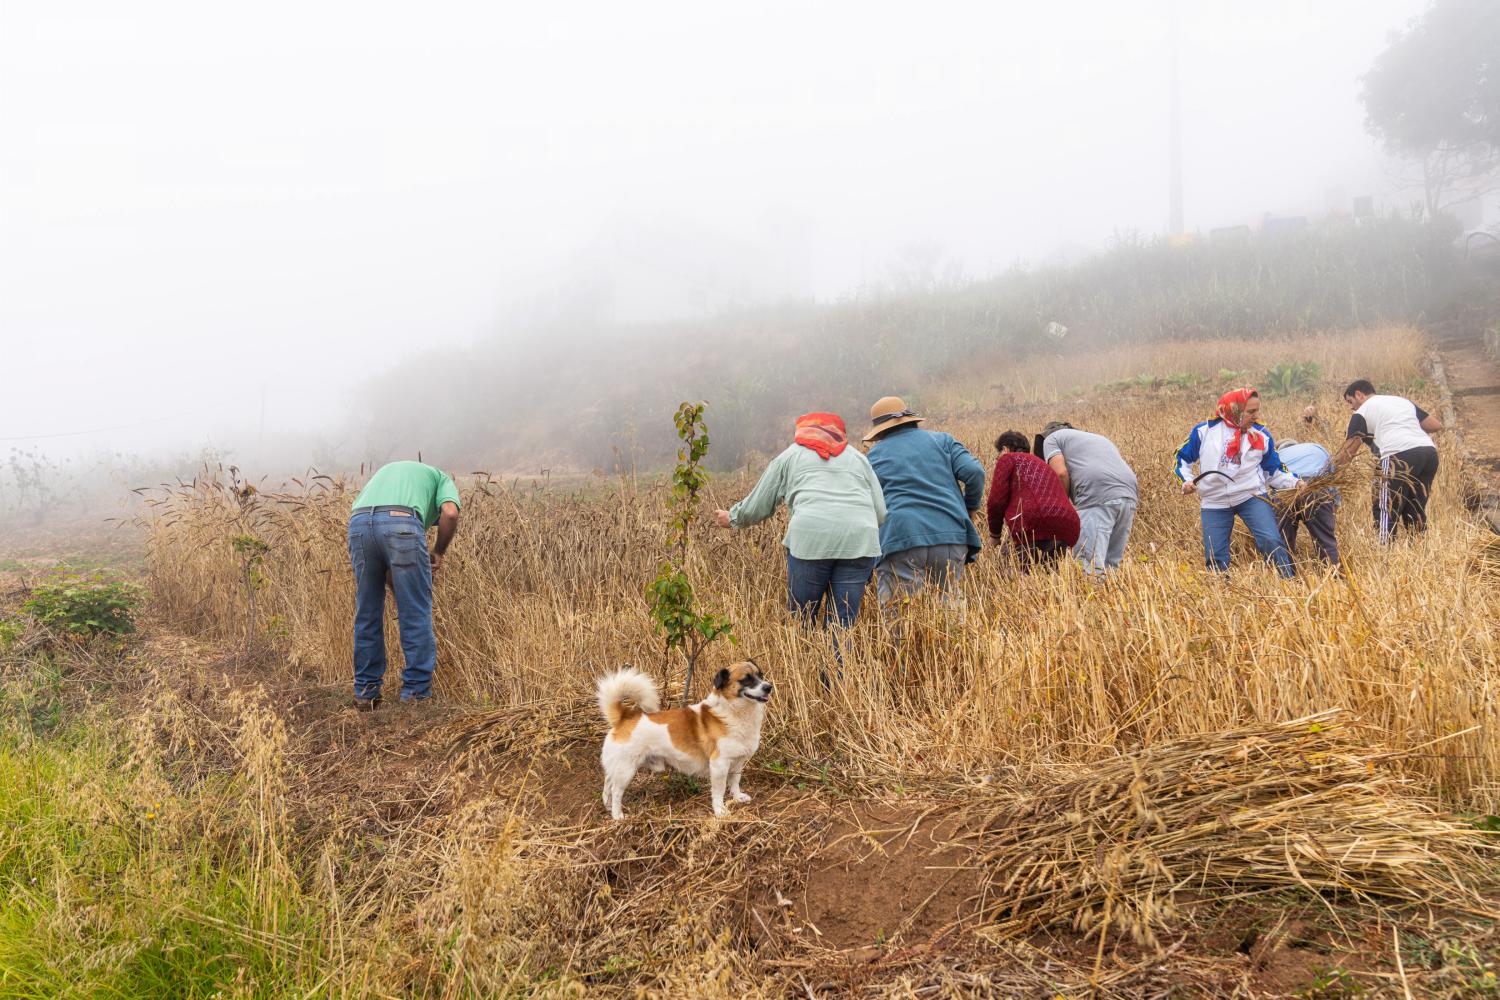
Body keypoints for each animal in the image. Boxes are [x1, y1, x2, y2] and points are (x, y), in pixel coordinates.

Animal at [591, 659, 774, 815]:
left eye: (760, 675)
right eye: (746, 680)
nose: (769, 687)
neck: (732, 712)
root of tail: (624, 717)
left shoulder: (737, 762)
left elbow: (735, 782)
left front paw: (737, 797)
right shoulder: (719, 765)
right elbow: (719, 791)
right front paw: (720, 811)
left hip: (618, 768)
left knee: (607, 785)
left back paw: (608, 807)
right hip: (626, 770)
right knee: (616, 791)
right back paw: (617, 815)